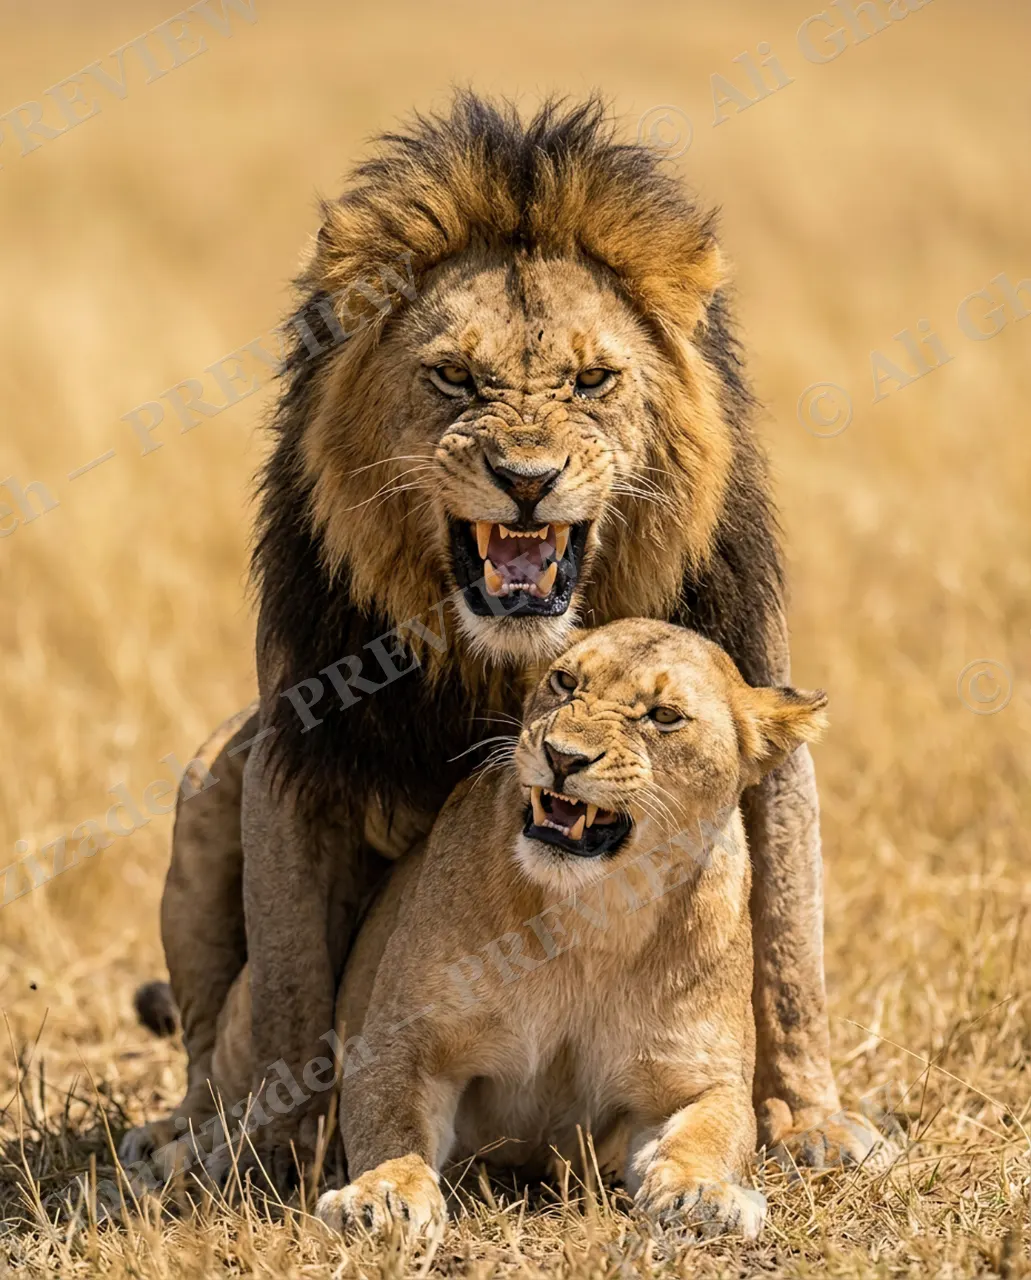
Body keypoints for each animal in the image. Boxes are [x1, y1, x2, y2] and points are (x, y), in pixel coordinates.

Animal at [129, 94, 883, 1186]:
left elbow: (786, 949)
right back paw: (182, 1133)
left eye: (593, 379)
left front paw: (806, 1120)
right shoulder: (293, 746)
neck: (504, 653)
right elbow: (289, 987)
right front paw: (272, 1148)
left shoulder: (761, 703)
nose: (526, 479)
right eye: (453, 377)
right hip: (204, 777)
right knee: (204, 1036)